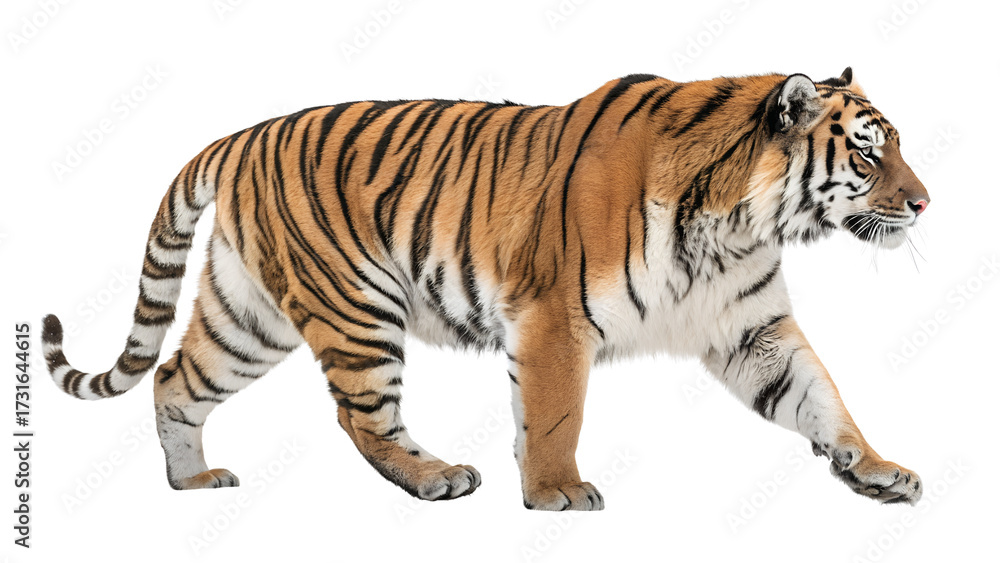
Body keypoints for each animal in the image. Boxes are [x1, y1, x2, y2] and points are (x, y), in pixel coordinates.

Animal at [42, 67, 929, 510]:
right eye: (868, 151)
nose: (926, 202)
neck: (738, 221)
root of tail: (240, 135)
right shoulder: (555, 317)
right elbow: (556, 413)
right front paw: (557, 492)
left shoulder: (753, 329)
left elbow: (822, 397)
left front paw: (879, 468)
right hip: (355, 307)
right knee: (361, 417)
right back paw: (435, 476)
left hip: (248, 316)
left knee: (172, 376)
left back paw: (190, 481)